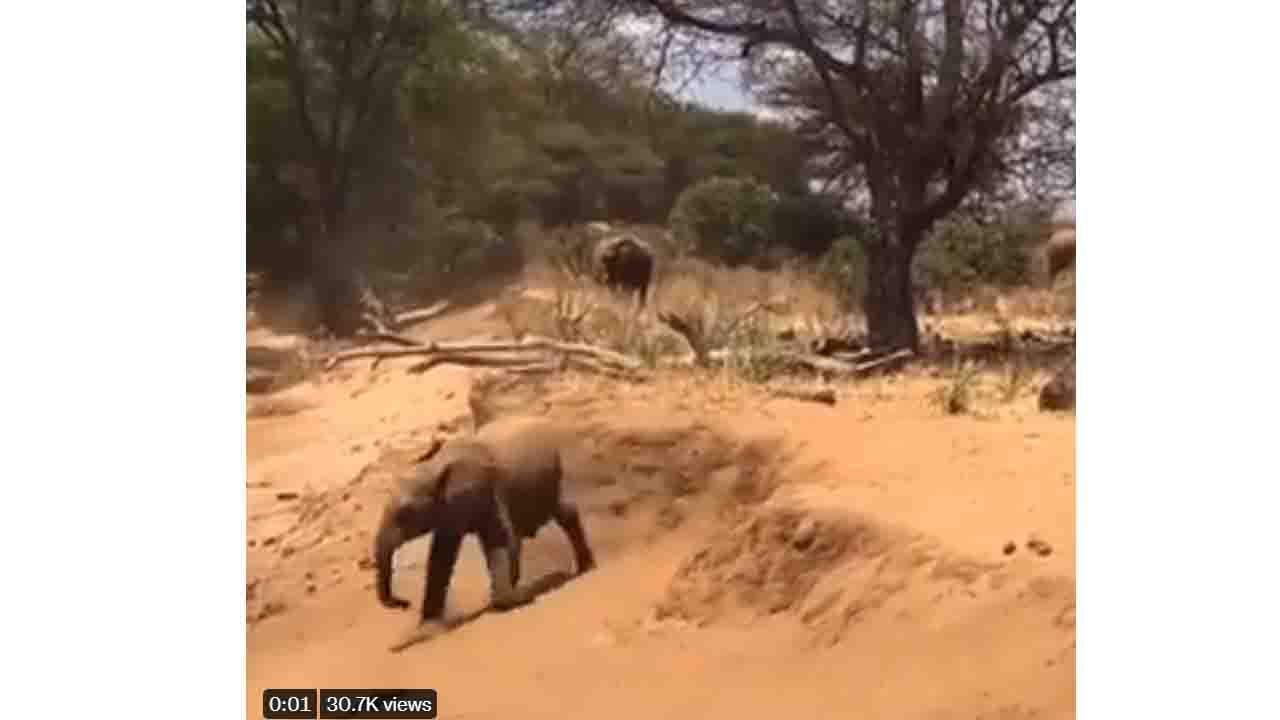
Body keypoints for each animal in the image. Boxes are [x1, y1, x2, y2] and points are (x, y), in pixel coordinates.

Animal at [373, 415, 596, 622]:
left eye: (405, 513)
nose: (404, 603)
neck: (434, 467)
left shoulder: (487, 491)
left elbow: (499, 540)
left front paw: (515, 599)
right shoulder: (449, 510)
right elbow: (441, 557)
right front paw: (428, 624)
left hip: (555, 472)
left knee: (566, 513)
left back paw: (585, 569)